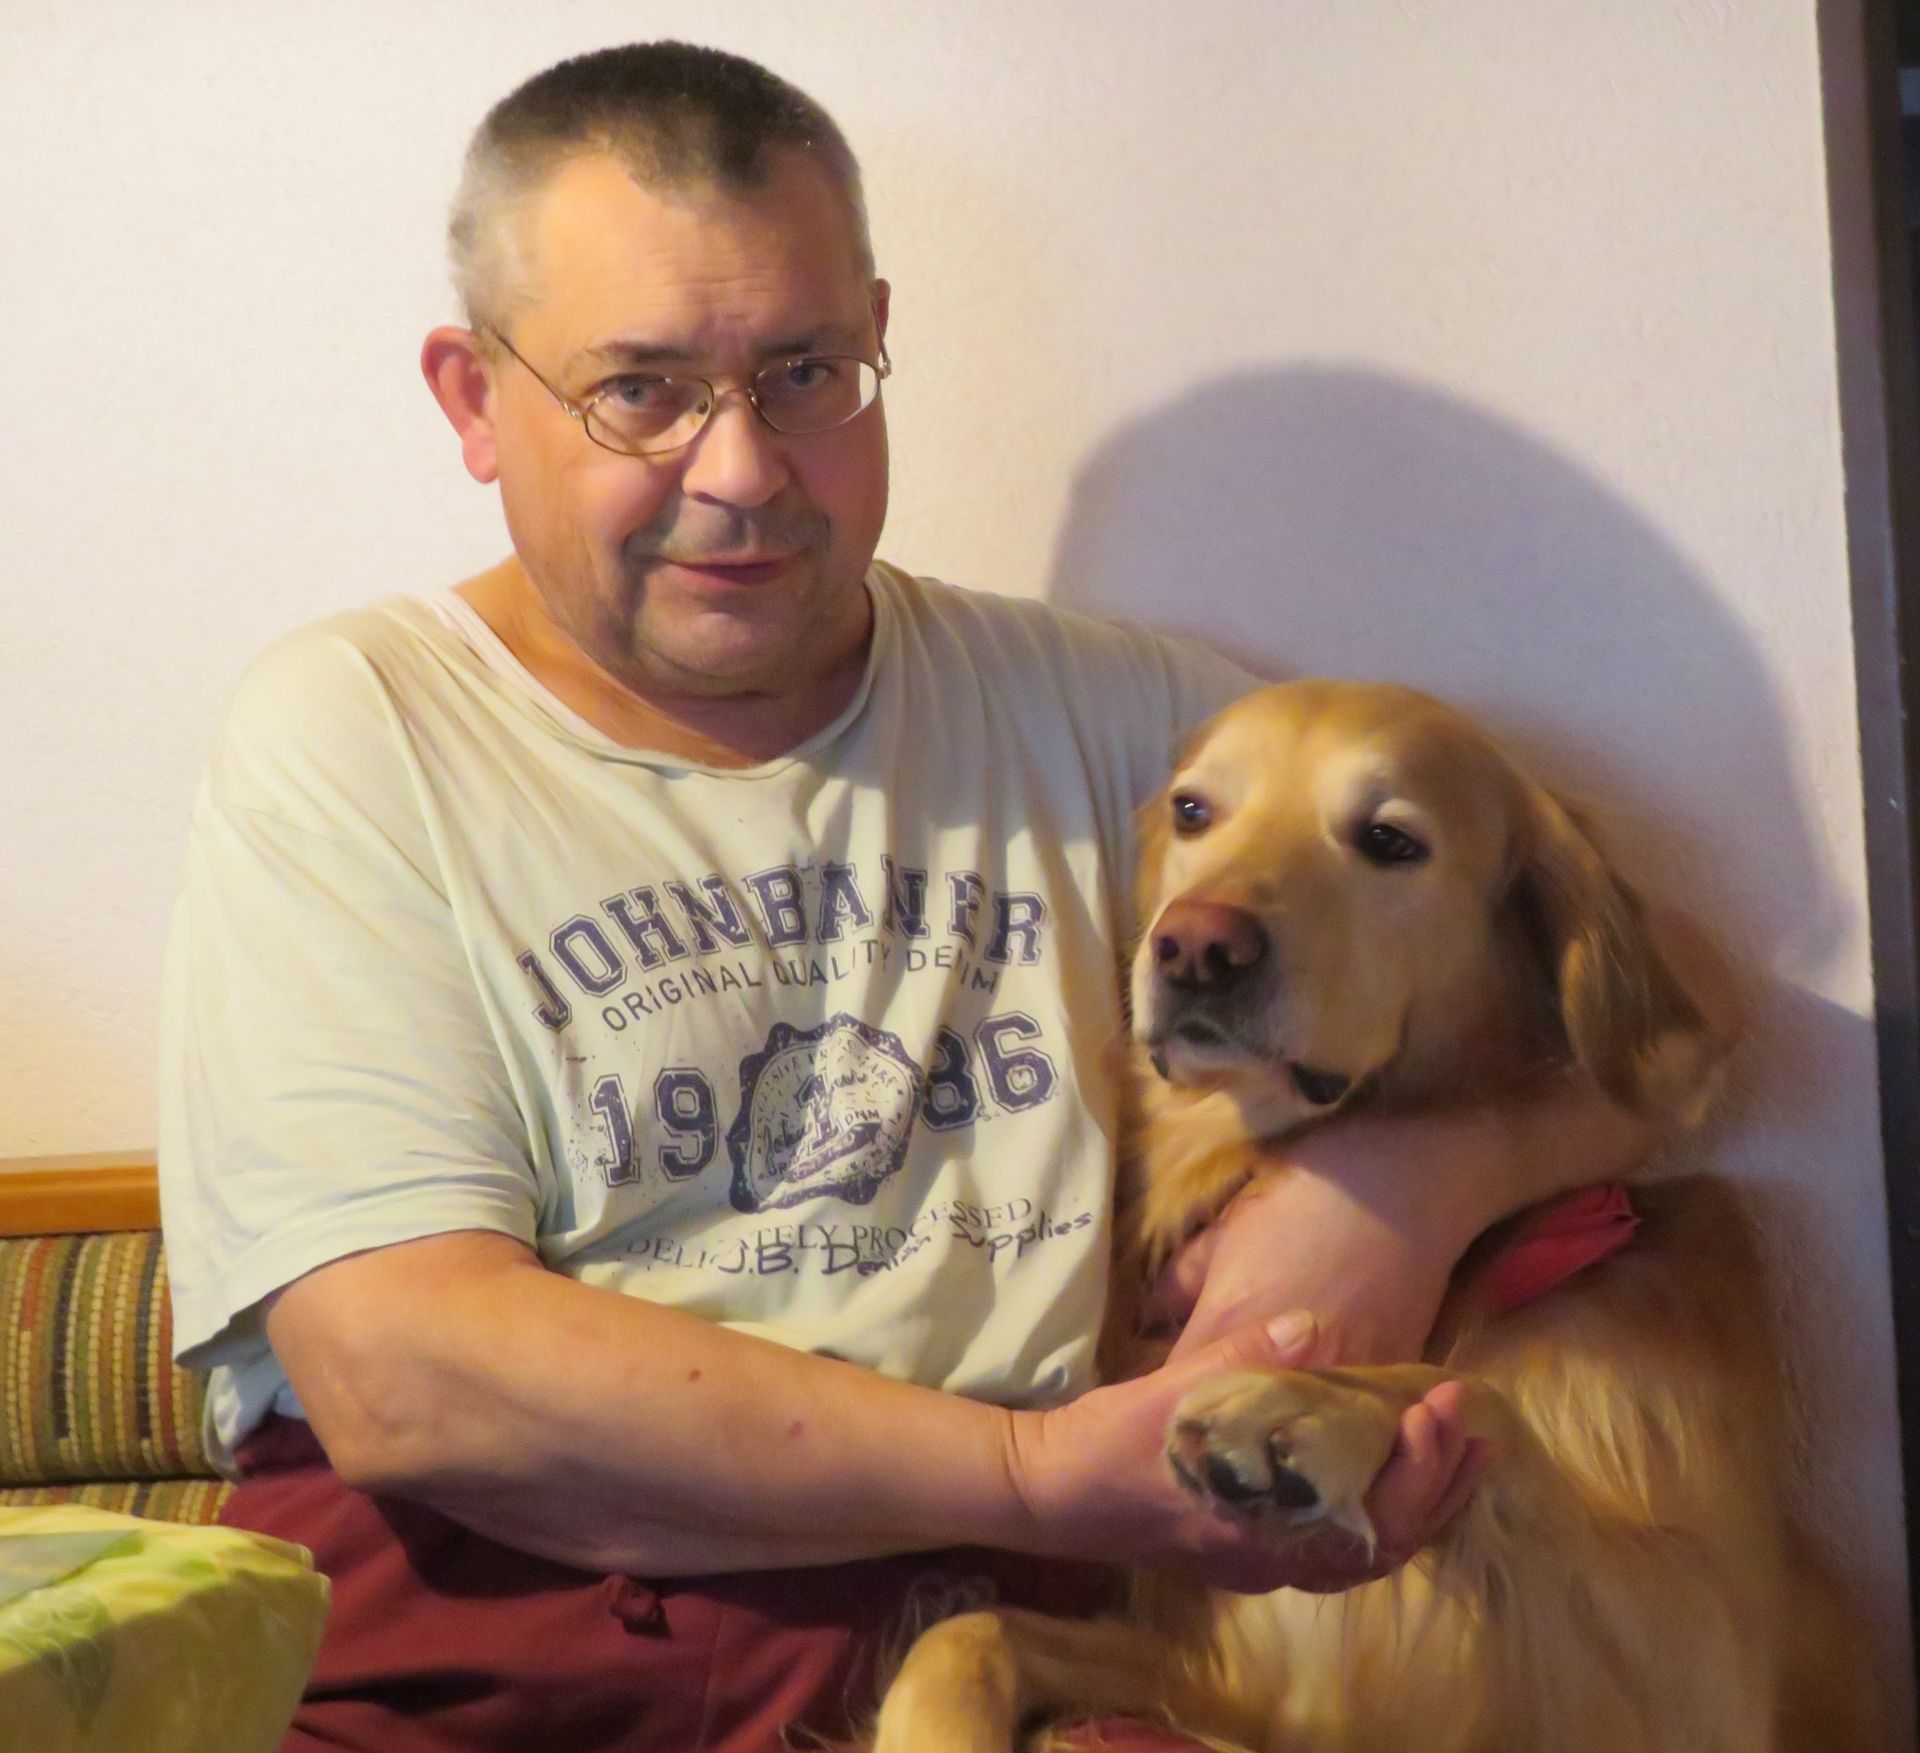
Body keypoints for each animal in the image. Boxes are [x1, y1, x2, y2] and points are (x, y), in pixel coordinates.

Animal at [873, 679, 1876, 1753]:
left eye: (1390, 839)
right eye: (1193, 810)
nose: (1195, 944)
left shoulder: (1701, 1673)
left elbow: (1480, 1401)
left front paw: (1316, 1405)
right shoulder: (1232, 1679)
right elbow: (965, 1632)